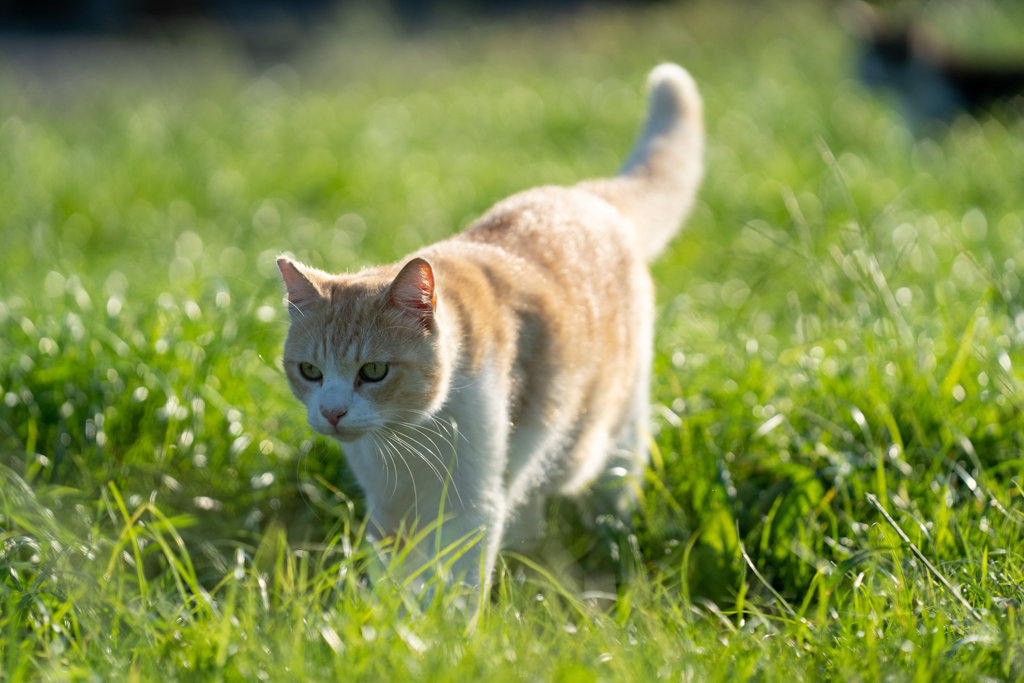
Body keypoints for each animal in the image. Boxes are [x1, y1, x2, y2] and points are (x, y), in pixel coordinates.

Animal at [276, 62, 700, 589]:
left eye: (373, 372)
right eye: (309, 372)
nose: (332, 413)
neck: (407, 440)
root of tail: (585, 194)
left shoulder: (470, 507)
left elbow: (456, 585)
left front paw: (445, 613)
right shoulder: (389, 513)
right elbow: (395, 582)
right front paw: (388, 609)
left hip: (605, 438)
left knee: (604, 486)